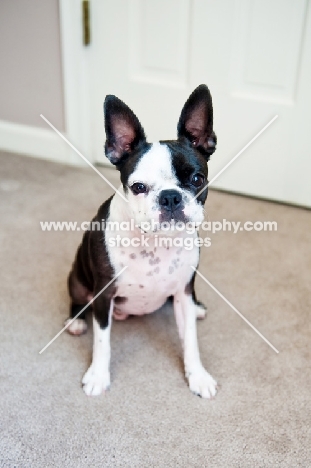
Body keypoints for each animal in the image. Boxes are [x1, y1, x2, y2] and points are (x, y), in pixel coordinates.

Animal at [67, 84, 219, 398]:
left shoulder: (183, 290)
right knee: (76, 301)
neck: (156, 243)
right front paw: (97, 376)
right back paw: (74, 322)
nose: (170, 197)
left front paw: (197, 376)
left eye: (197, 179)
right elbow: (102, 342)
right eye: (138, 187)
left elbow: (191, 341)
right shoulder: (104, 294)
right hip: (77, 278)